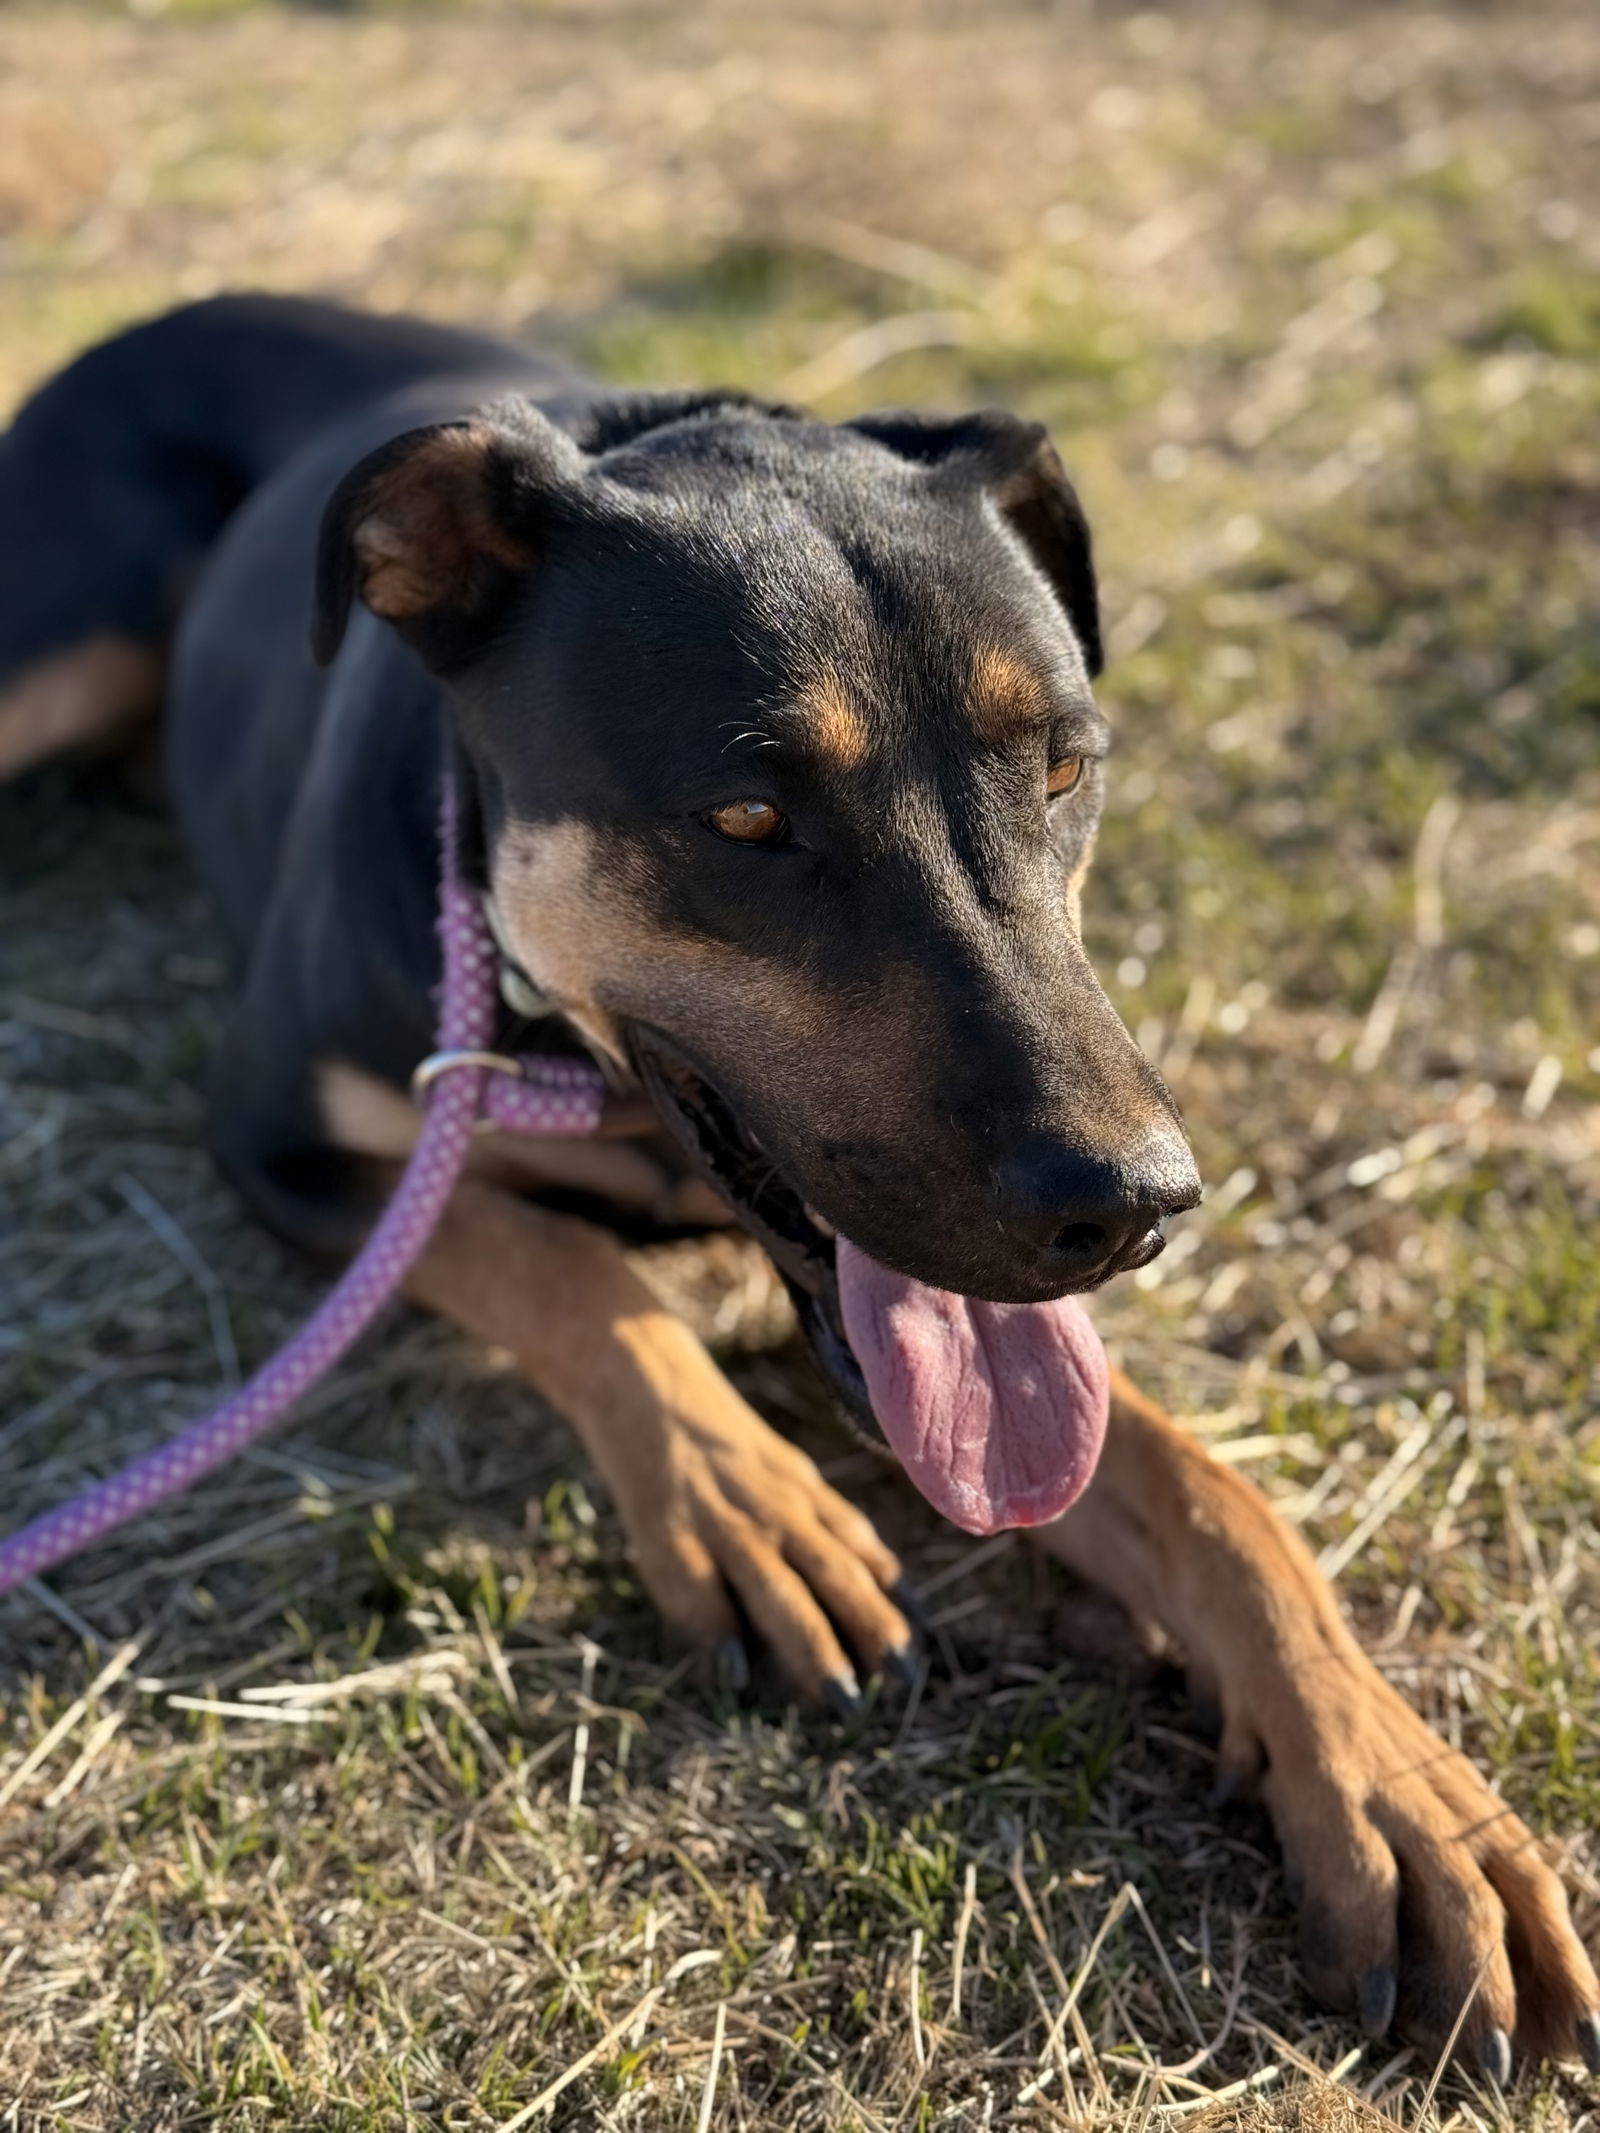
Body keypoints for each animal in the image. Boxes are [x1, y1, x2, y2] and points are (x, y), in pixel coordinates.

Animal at [0, 292, 1595, 2073]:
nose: (1139, 1207)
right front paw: (748, 1495)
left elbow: (1207, 1489)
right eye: (749, 816)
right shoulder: (289, 1142)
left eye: (1065, 767)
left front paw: (1405, 1798)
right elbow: (564, 1270)